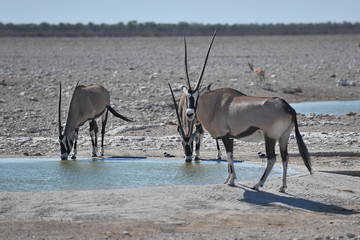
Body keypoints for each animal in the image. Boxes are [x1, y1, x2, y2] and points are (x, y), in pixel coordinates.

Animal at [179, 30, 310, 192]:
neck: (216, 104)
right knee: (285, 158)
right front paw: (229, 178)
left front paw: (231, 181)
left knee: (272, 158)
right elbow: (230, 156)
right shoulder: (231, 137)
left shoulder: (225, 136)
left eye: (198, 96)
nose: (190, 113)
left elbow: (229, 156)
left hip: (270, 137)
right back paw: (282, 187)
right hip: (283, 137)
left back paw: (258, 184)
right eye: (187, 97)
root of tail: (287, 106)